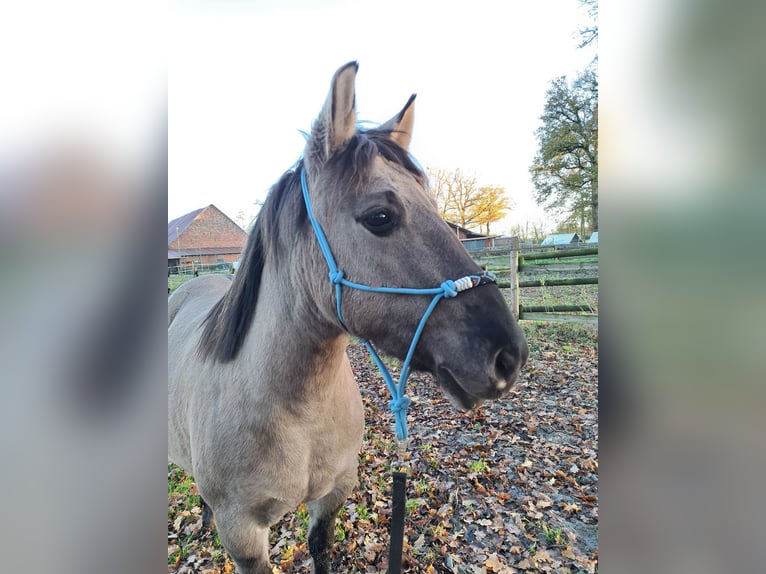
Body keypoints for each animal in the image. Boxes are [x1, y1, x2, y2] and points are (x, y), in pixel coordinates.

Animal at [168, 61, 528, 574]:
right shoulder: (243, 537)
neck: (297, 413)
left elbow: (321, 548)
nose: (508, 356)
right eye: (379, 216)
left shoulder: (334, 494)